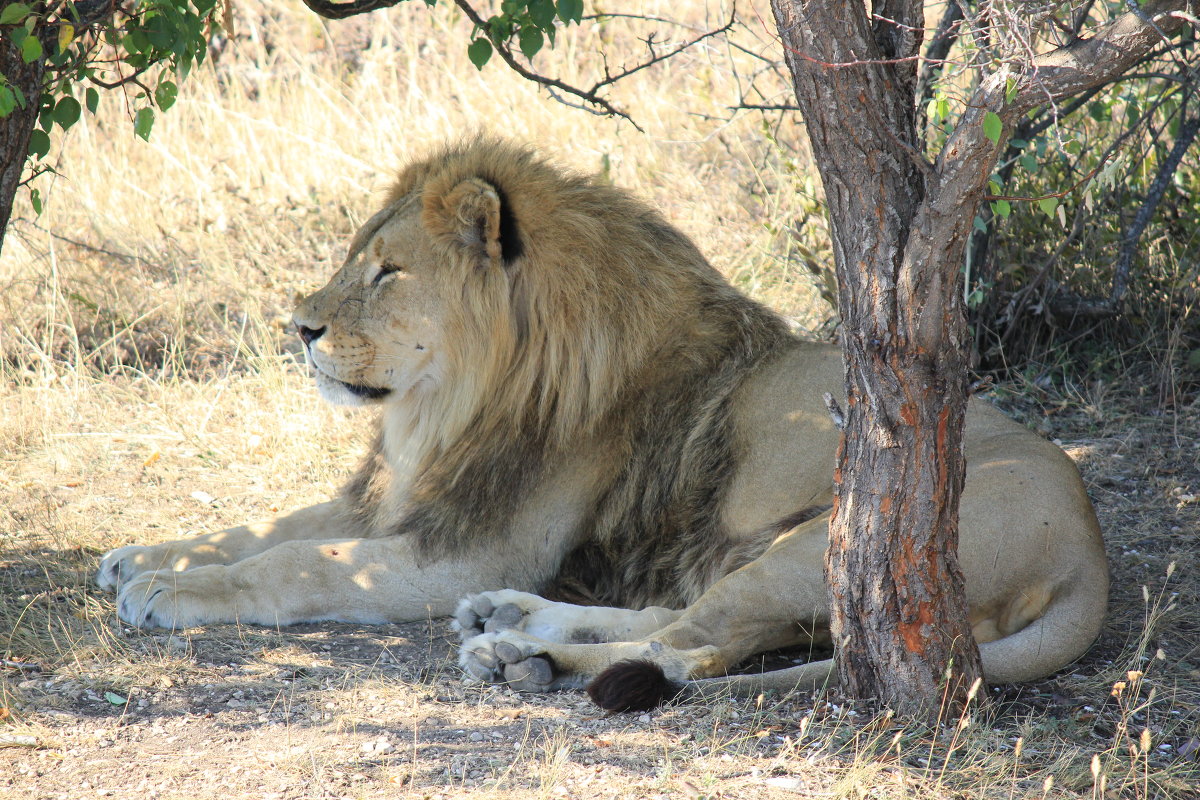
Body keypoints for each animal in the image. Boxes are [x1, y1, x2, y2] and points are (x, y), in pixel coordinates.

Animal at [98, 139, 1108, 714]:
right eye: (355, 262)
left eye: (387, 272)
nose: (298, 327)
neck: (445, 404)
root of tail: (1091, 553)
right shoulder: (405, 502)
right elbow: (265, 525)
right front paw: (141, 556)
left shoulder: (468, 544)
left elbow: (296, 562)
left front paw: (169, 590)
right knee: (680, 621)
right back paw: (517, 618)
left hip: (835, 538)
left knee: (689, 650)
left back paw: (516, 654)